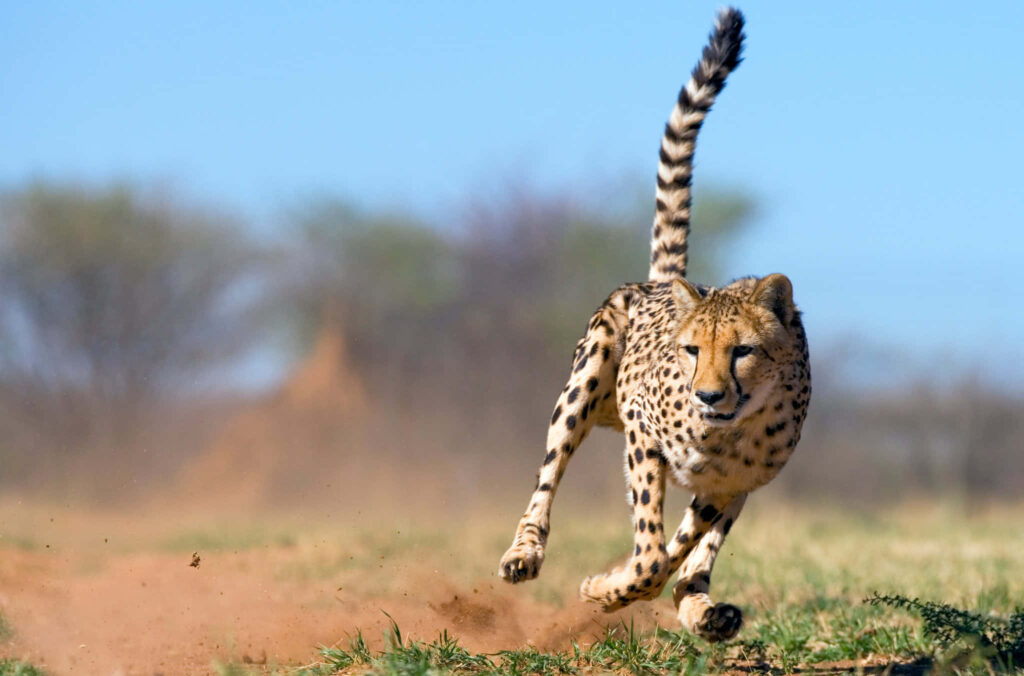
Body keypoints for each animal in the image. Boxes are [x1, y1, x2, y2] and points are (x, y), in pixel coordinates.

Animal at [497, 7, 810, 642]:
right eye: (691, 351)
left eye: (742, 351)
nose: (708, 394)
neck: (729, 429)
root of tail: (665, 282)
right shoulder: (643, 436)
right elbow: (649, 554)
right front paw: (605, 589)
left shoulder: (730, 483)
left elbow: (676, 550)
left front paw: (624, 589)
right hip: (586, 381)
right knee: (549, 475)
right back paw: (525, 553)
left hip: (732, 489)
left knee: (694, 554)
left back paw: (704, 608)